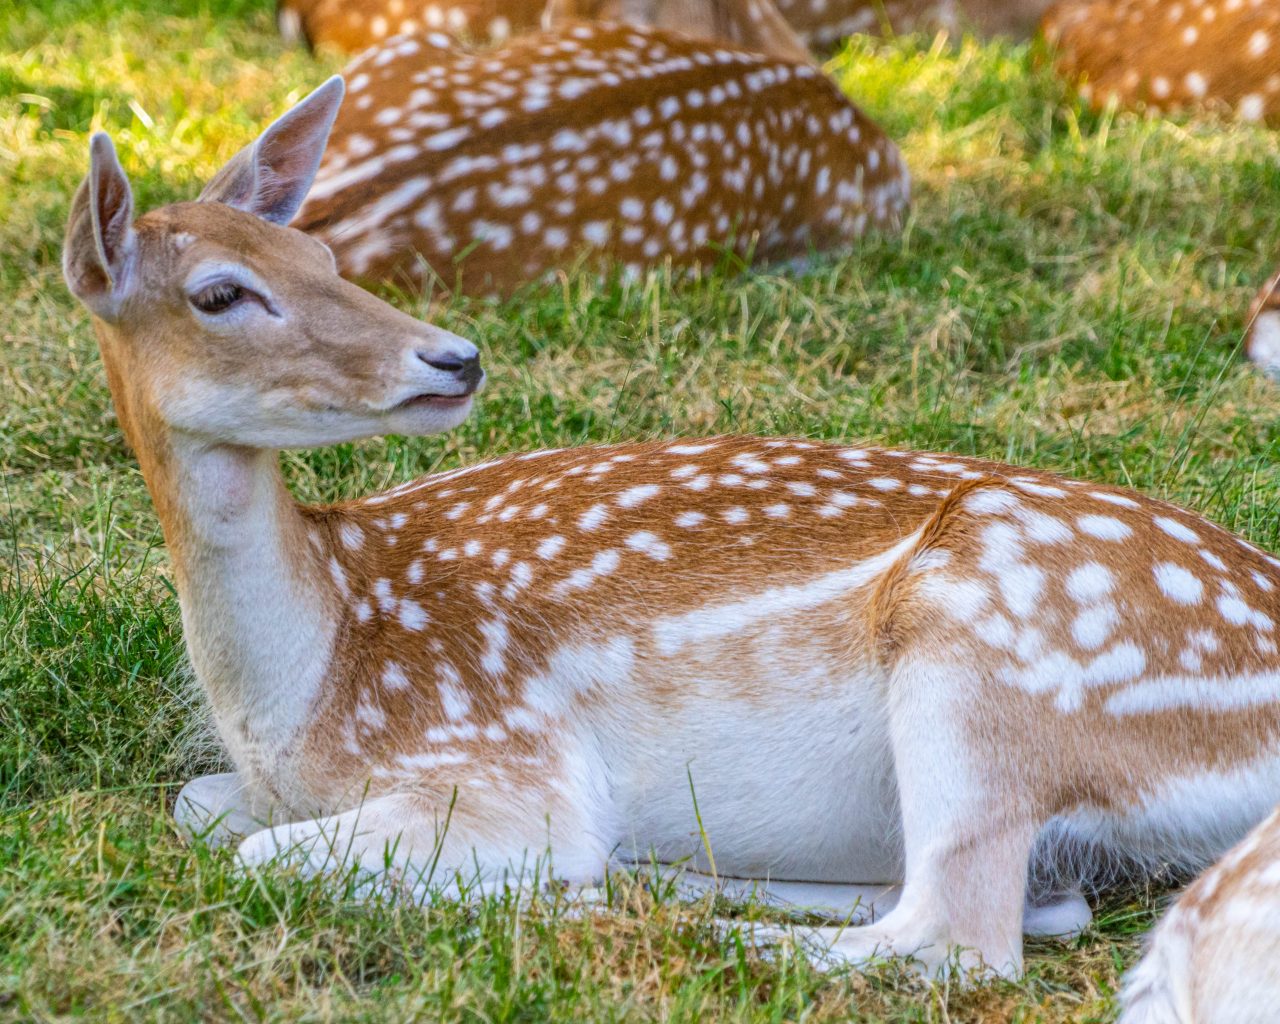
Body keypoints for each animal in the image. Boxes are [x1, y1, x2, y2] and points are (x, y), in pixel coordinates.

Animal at [62, 78, 1280, 977]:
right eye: (222, 293)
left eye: (322, 256)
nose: (454, 358)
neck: (304, 686)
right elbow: (200, 807)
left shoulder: (500, 760)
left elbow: (259, 853)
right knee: (1026, 903)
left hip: (988, 654)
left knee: (956, 937)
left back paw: (609, 902)